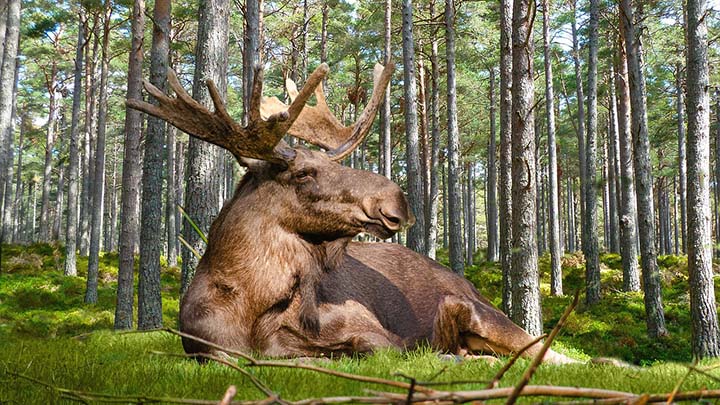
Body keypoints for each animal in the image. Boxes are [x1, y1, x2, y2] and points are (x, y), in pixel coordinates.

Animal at [127, 61, 576, 365]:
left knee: (549, 351)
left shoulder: (373, 331)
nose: (397, 200)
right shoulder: (206, 347)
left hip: (483, 312)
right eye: (304, 173)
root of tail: (466, 281)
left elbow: (367, 350)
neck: (251, 304)